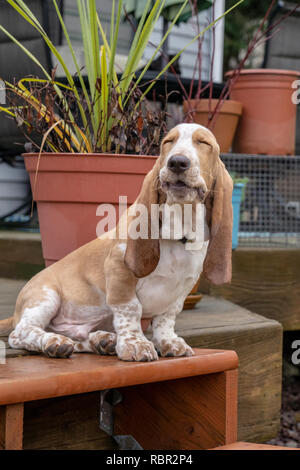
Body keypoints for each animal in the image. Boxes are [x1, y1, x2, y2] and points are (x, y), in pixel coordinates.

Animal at [0, 123, 233, 362]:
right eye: (168, 142)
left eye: (204, 143)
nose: (177, 162)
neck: (179, 229)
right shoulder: (120, 271)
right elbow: (130, 309)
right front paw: (136, 344)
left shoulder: (182, 289)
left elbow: (166, 317)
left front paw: (169, 342)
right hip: (46, 297)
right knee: (21, 333)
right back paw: (54, 342)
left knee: (76, 336)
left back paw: (102, 341)